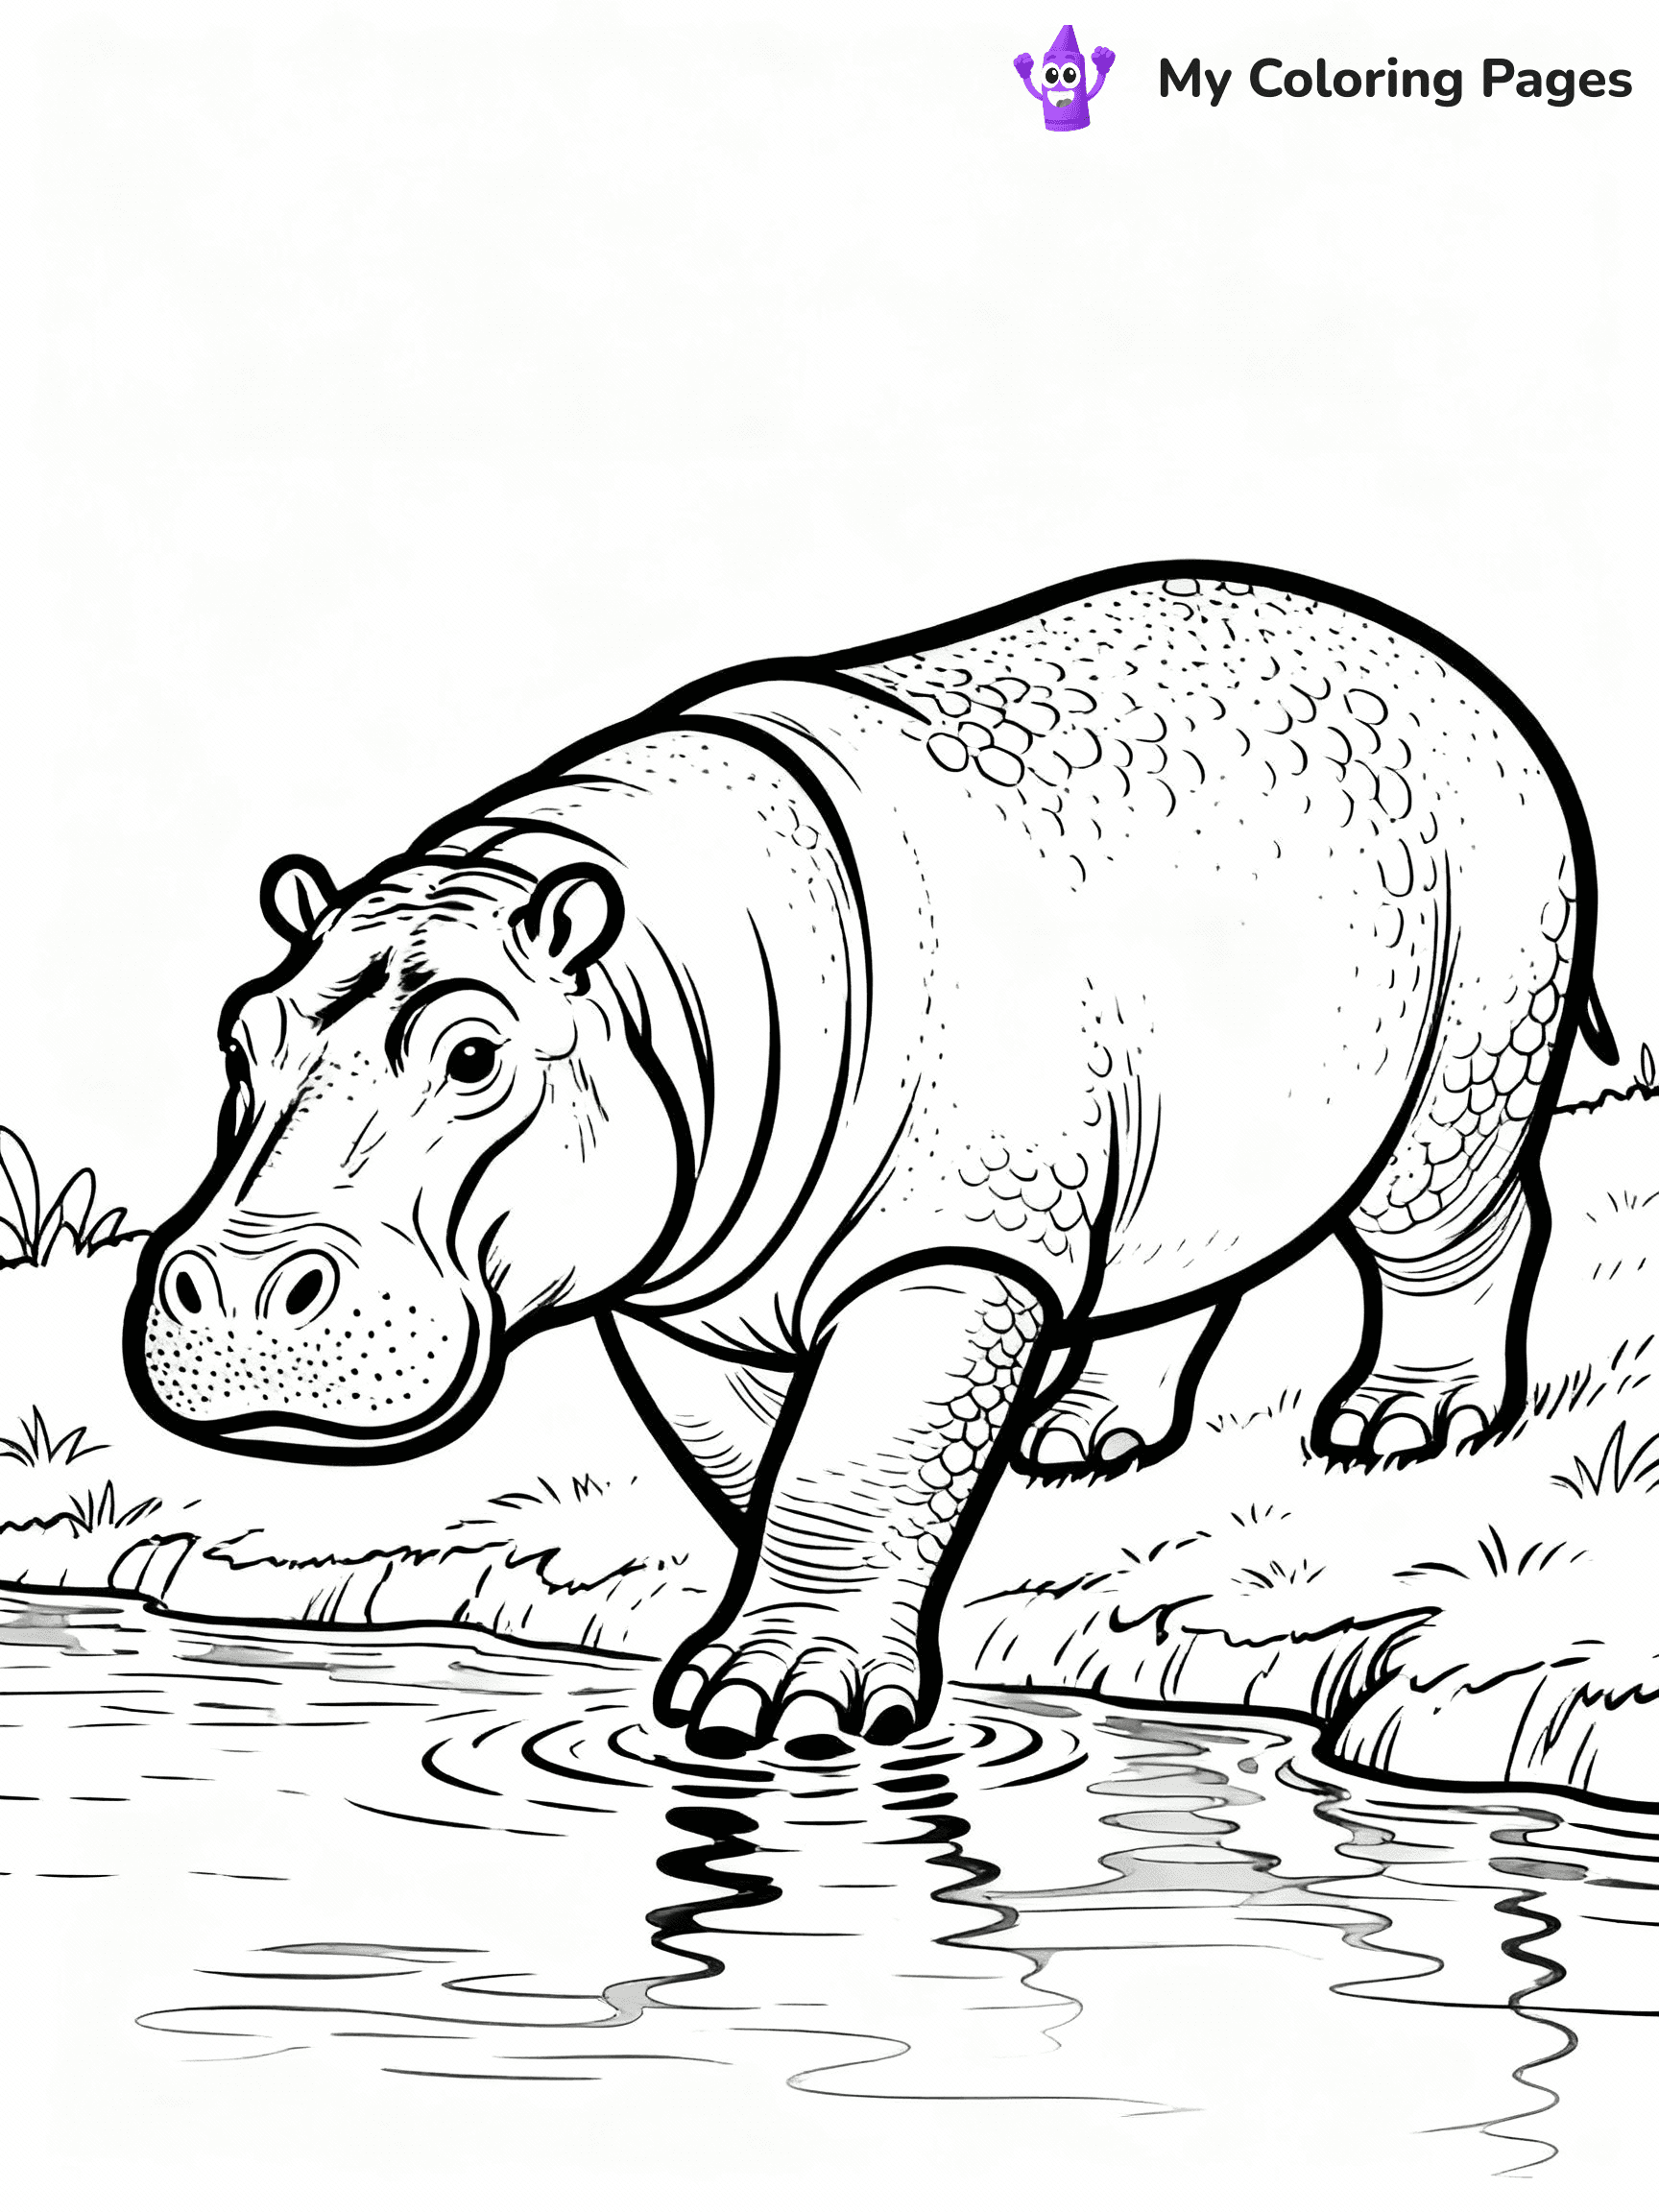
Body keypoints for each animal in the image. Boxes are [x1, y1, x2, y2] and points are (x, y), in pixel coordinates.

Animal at [126, 561, 1614, 1755]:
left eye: (476, 1054)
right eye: (239, 1034)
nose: (242, 1295)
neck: (658, 974)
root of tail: (1454, 668)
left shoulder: (952, 1241)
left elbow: (856, 1453)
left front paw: (778, 1709)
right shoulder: (686, 1288)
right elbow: (771, 1456)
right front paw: (738, 1657)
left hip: (1480, 1007)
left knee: (1449, 1217)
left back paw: (1397, 1436)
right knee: (1184, 1250)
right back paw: (1075, 1451)